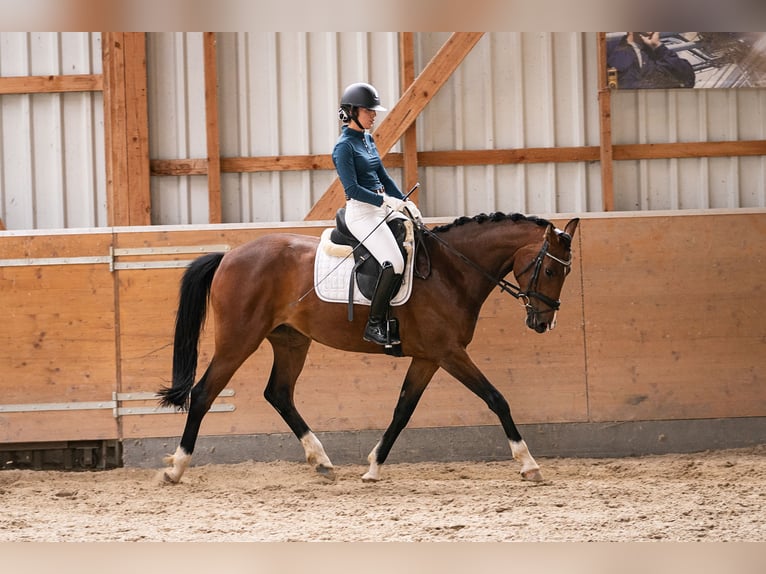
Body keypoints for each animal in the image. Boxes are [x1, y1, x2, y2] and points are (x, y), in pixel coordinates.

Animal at [159, 214, 580, 484]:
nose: (543, 323)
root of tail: (229, 256)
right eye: (550, 270)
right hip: (239, 340)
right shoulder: (449, 353)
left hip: (291, 340)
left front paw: (374, 466)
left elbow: (402, 411)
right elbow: (497, 398)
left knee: (278, 393)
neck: (450, 271)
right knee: (203, 394)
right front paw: (528, 464)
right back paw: (176, 468)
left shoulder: (428, 357)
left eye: (566, 272)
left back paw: (322, 461)